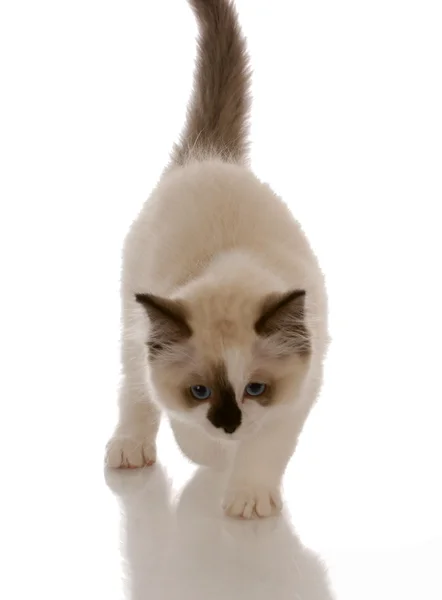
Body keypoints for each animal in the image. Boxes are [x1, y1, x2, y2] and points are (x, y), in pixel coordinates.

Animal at [106, 0, 328, 516]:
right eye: (200, 391)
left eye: (256, 389)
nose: (229, 423)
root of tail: (208, 158)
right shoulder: (171, 389)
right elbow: (186, 430)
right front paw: (212, 455)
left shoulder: (300, 390)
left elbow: (265, 444)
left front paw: (247, 500)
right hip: (132, 315)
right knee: (134, 391)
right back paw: (131, 448)